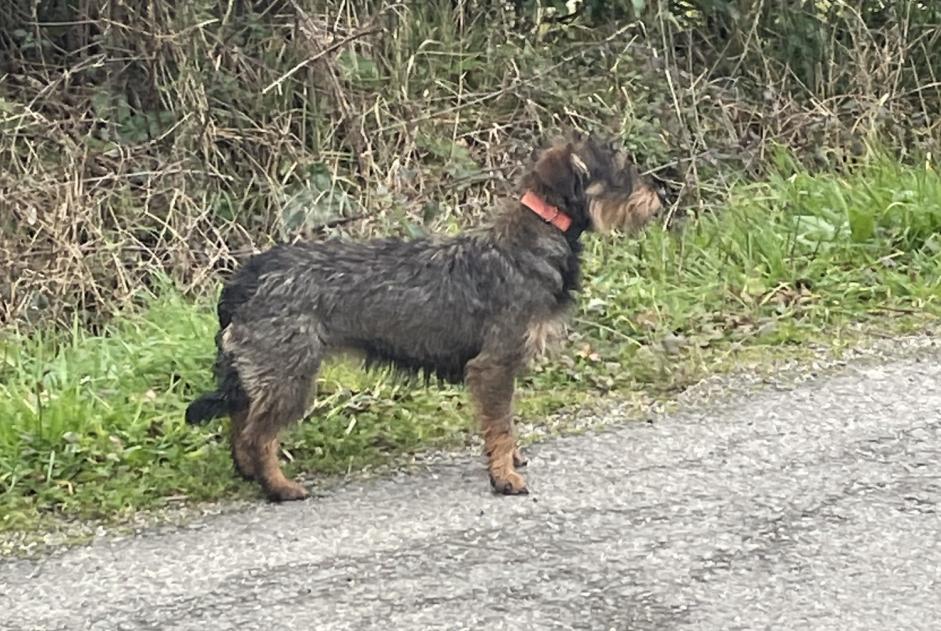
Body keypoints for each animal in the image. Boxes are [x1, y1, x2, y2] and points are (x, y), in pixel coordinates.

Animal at [187, 135, 664, 504]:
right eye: (622, 168)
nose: (659, 198)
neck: (533, 238)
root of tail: (244, 278)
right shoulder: (494, 365)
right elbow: (500, 425)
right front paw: (504, 475)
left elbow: (505, 424)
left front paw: (510, 459)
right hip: (290, 376)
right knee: (257, 435)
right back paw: (279, 487)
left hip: (264, 374)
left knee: (240, 420)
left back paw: (250, 473)